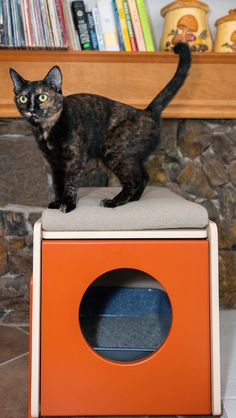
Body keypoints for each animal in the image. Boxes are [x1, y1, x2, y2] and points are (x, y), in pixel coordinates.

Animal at [9, 43, 191, 212]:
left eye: (42, 97)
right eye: (23, 98)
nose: (31, 109)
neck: (47, 130)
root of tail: (146, 112)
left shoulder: (76, 159)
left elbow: (70, 183)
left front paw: (68, 204)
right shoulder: (54, 162)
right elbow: (57, 184)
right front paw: (57, 202)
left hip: (115, 152)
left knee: (134, 181)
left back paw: (113, 202)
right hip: (130, 157)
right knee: (144, 177)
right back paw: (132, 200)